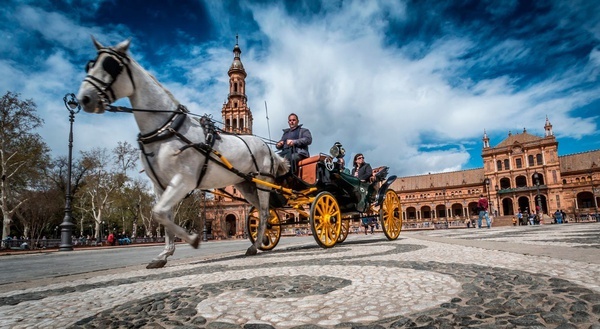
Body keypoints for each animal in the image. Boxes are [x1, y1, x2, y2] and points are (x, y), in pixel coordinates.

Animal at [77, 38, 288, 268]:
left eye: (110, 65)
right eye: (90, 65)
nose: (84, 98)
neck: (166, 128)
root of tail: (268, 149)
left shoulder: (183, 180)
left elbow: (160, 213)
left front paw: (193, 239)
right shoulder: (161, 186)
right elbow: (163, 215)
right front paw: (164, 254)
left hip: (262, 182)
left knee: (265, 212)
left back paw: (255, 245)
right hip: (247, 185)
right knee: (262, 212)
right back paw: (261, 241)